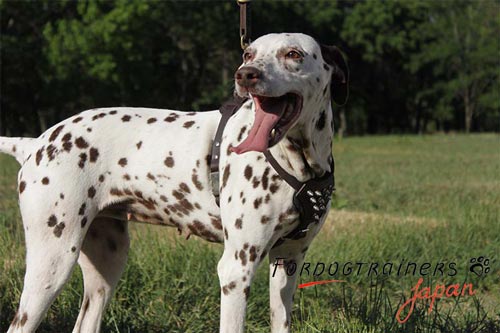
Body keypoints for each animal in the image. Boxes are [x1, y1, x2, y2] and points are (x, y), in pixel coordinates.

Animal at [0, 33, 348, 332]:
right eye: (248, 53)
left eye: (293, 54)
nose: (245, 74)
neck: (299, 164)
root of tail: (36, 143)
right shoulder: (236, 270)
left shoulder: (288, 265)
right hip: (53, 261)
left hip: (107, 263)